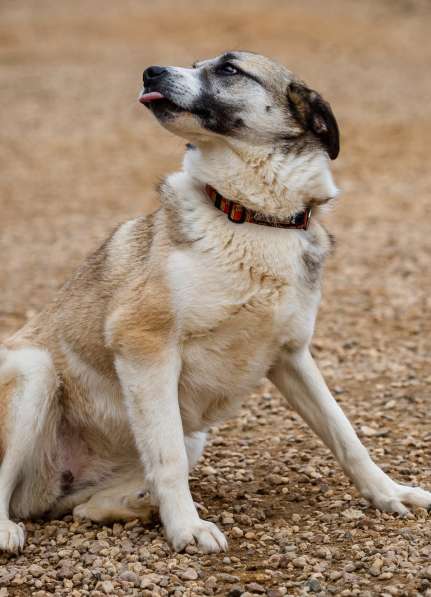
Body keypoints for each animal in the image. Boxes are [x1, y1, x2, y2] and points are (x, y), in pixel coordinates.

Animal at [0, 51, 431, 556]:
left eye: (229, 69)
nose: (150, 72)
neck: (252, 218)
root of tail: (44, 491)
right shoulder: (144, 345)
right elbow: (166, 459)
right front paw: (187, 528)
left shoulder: (291, 357)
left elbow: (345, 434)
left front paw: (390, 493)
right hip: (36, 371)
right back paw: (13, 528)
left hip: (192, 437)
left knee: (84, 508)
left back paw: (134, 506)